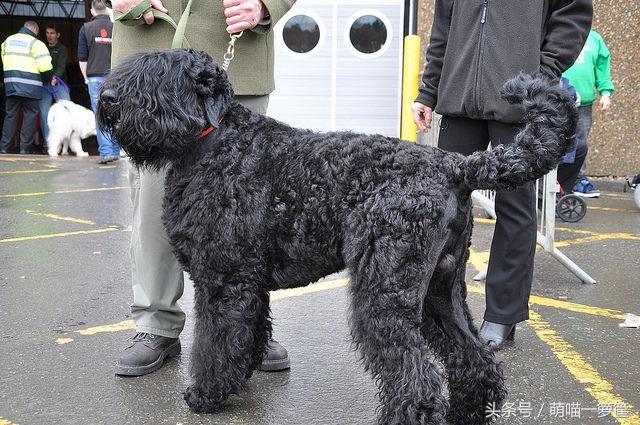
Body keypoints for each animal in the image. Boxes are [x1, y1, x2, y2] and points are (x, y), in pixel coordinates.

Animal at [97, 48, 576, 422]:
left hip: (385, 294)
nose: (106, 98)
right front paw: (242, 376)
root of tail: (454, 165)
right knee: (475, 361)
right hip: (440, 292)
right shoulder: (250, 281)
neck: (216, 142)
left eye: (159, 74)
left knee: (416, 381)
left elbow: (215, 340)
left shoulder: (223, 280)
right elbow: (248, 331)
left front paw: (206, 394)